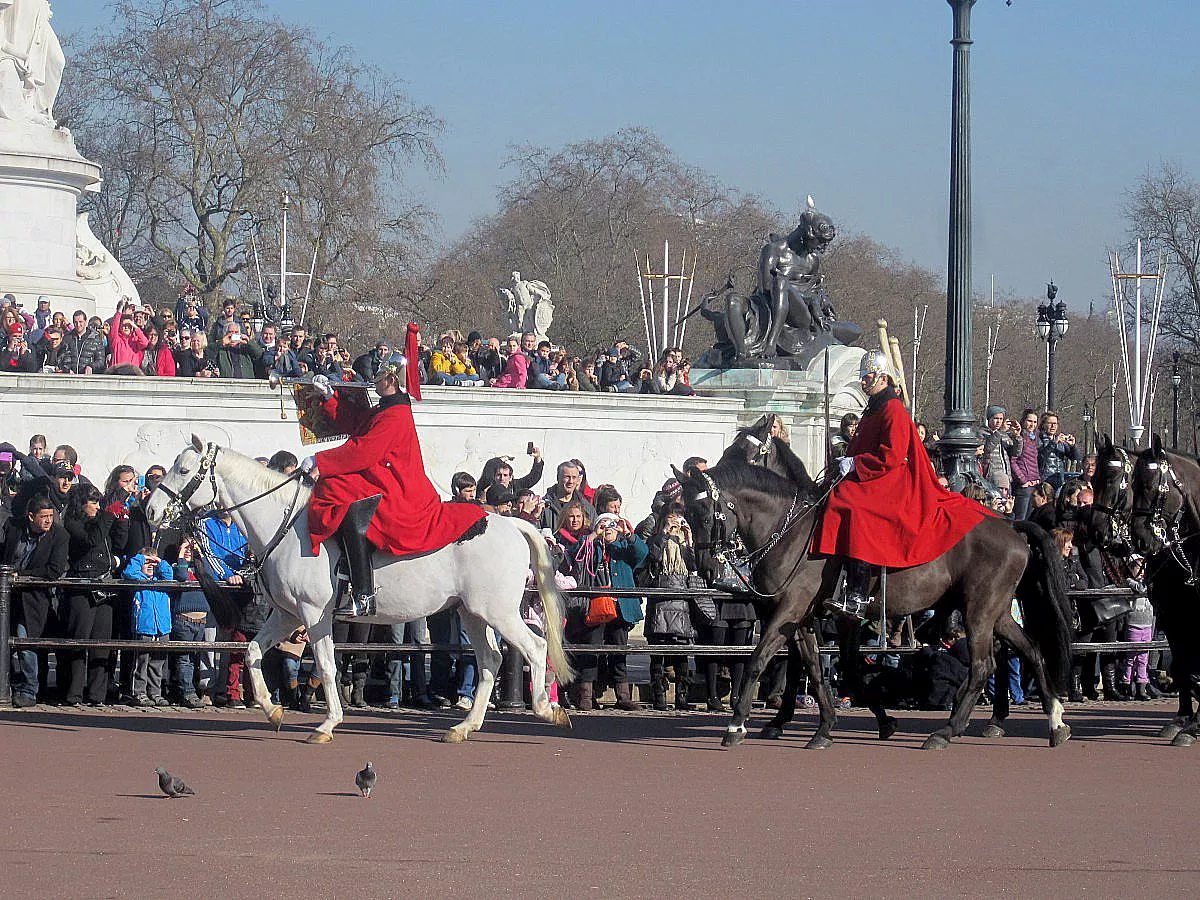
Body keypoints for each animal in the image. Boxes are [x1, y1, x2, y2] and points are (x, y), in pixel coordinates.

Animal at [145, 434, 576, 744]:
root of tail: (511, 523)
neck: (288, 524)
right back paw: (464, 727)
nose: (150, 511)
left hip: (496, 612)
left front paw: (327, 724)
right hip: (471, 613)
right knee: (490, 660)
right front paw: (273, 710)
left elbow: (326, 665)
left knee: (534, 648)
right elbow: (252, 651)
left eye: (184, 469)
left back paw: (545, 708)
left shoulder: (313, 614)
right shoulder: (286, 615)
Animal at [681, 420, 1075, 748]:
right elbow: (815, 667)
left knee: (983, 666)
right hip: (996, 612)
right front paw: (826, 725)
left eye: (706, 514)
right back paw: (1053, 722)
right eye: (687, 513)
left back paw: (947, 731)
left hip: (979, 611)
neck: (792, 527)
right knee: (1030, 651)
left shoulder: (793, 612)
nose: (705, 566)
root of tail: (1011, 524)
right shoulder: (805, 618)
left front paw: (738, 725)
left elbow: (761, 660)